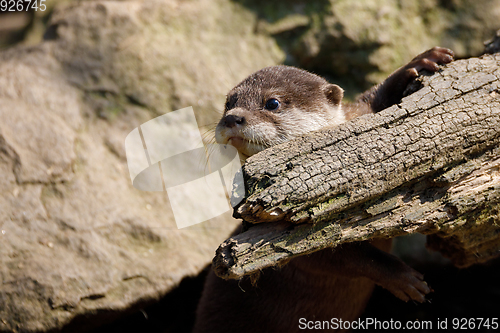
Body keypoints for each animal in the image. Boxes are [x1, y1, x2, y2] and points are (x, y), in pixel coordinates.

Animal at [193, 46, 456, 332]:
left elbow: (371, 101)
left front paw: (420, 61)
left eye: (272, 103)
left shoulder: (358, 115)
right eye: (229, 103)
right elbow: (339, 257)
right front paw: (402, 278)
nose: (232, 117)